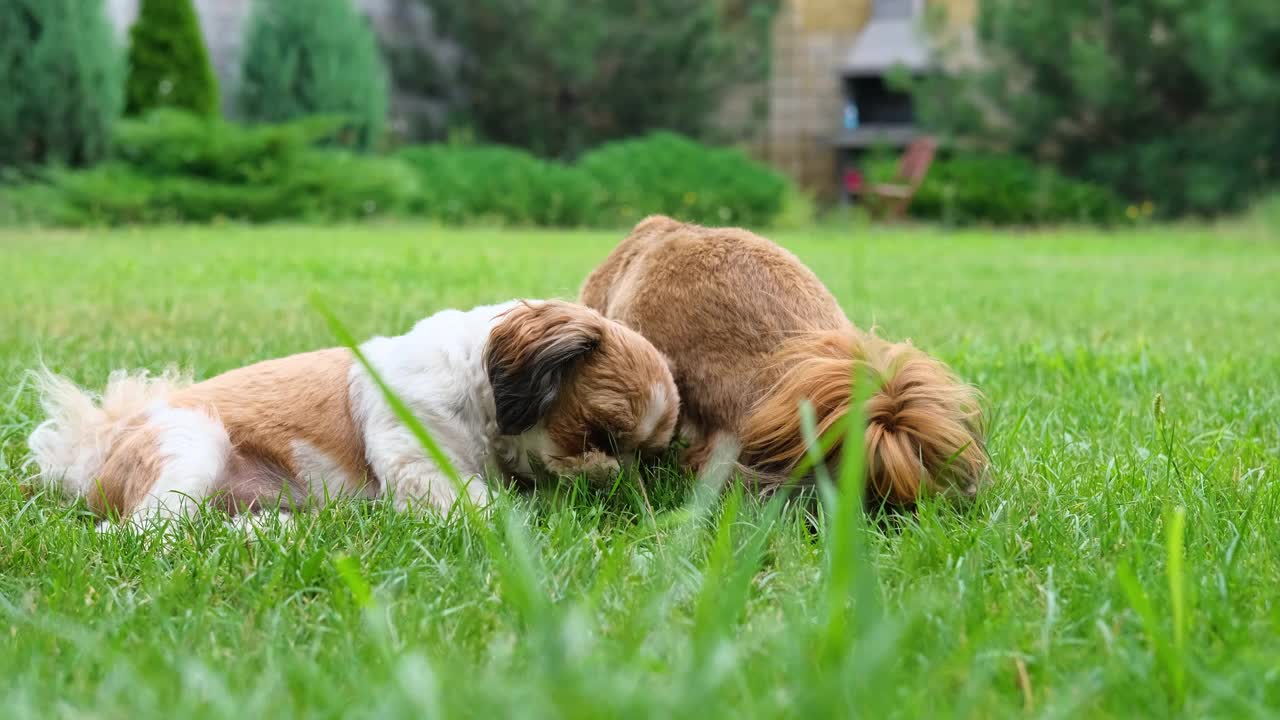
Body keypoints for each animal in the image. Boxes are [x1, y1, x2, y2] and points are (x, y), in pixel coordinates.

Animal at [24, 297, 680, 520]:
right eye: (596, 435)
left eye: (647, 456)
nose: (614, 479)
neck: (480, 397)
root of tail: (97, 451)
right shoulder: (417, 457)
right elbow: (476, 501)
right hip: (191, 445)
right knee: (148, 533)